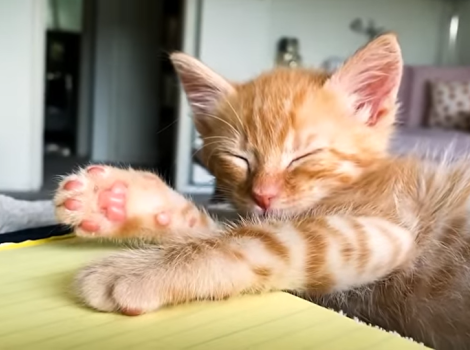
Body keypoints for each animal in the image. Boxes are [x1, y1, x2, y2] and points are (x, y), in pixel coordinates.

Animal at [53, 33, 470, 350]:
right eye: (238, 158)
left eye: (303, 156)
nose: (263, 196)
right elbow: (220, 226)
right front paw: (117, 200)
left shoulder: (387, 230)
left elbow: (256, 239)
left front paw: (139, 269)